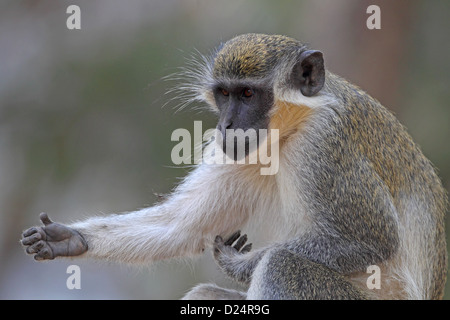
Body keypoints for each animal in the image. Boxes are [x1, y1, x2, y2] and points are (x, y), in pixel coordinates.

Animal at [21, 33, 446, 298]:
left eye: (247, 94)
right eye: (224, 94)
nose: (226, 125)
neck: (294, 126)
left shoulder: (325, 145)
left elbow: (371, 241)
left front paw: (242, 264)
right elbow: (182, 226)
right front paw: (70, 238)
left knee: (284, 265)